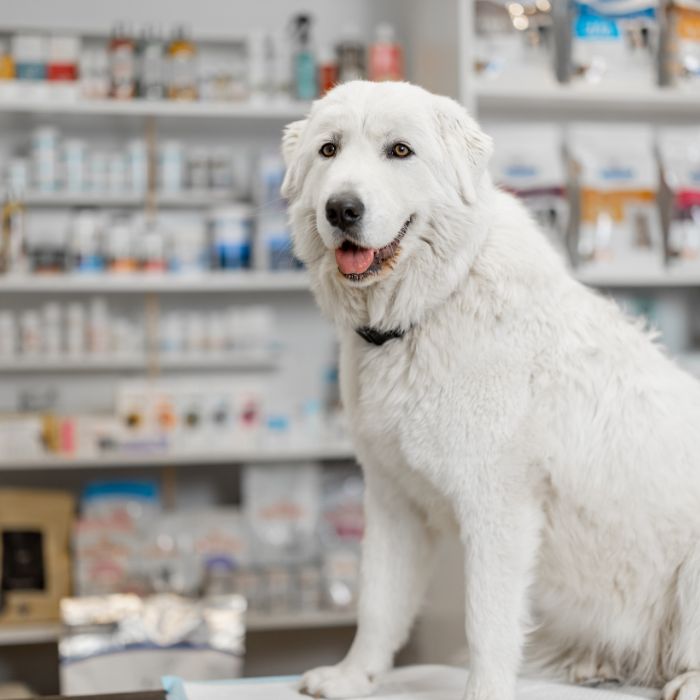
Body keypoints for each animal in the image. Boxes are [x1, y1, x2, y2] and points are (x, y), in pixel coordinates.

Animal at [278, 83, 700, 700]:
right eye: (328, 150)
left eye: (399, 151)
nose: (342, 209)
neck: (433, 306)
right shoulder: (393, 502)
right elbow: (378, 603)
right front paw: (353, 677)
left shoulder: (497, 509)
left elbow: (487, 623)